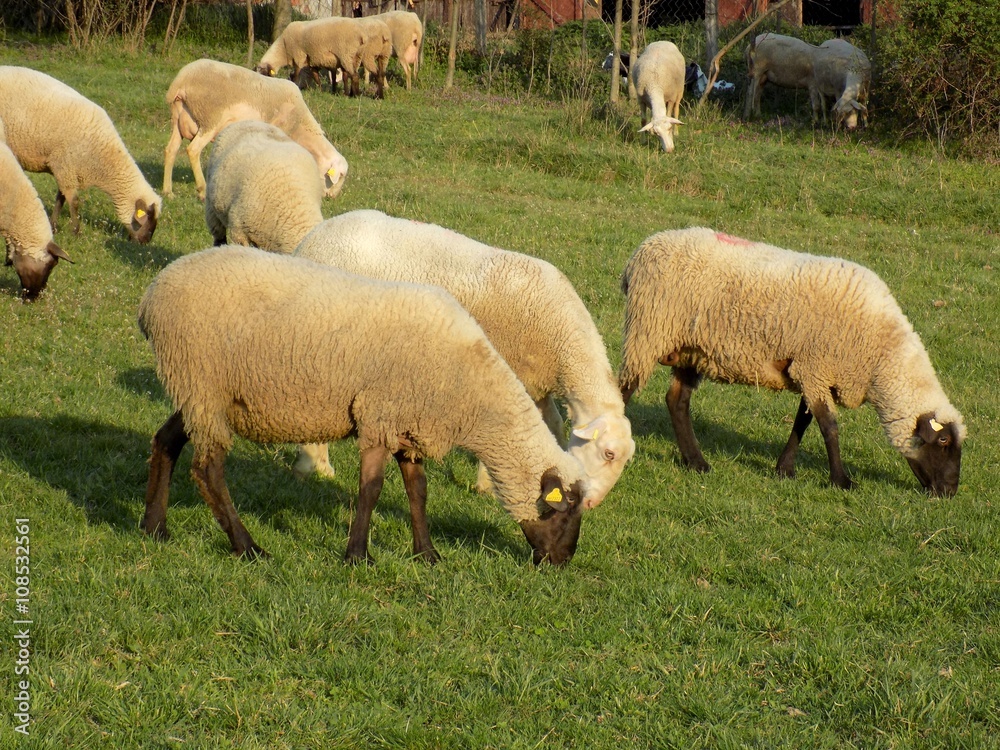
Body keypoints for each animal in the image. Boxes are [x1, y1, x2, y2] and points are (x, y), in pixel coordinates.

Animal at [0, 66, 160, 245]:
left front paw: (54, 226)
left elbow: (60, 199)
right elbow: (74, 201)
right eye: (147, 221)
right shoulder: (64, 165)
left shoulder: (65, 170)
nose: (144, 243)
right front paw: (76, 231)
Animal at [138, 245, 587, 565]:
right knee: (208, 469)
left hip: (200, 392)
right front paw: (358, 555)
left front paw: (427, 554)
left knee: (166, 441)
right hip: (199, 378)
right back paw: (247, 547)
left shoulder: (409, 423)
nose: (562, 561)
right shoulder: (379, 415)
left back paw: (154, 527)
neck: (471, 391)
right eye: (563, 511)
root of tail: (153, 293)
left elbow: (418, 490)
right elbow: (371, 489)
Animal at [162, 59, 349, 201]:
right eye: (338, 177)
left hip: (178, 119)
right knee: (193, 150)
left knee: (170, 150)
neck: (299, 127)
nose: (332, 197)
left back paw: (168, 192)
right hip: (209, 119)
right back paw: (202, 191)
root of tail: (181, 82)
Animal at [293, 209, 635, 510]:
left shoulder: (535, 384)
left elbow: (552, 427)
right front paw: (488, 484)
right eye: (608, 453)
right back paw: (314, 465)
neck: (562, 338)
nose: (590, 504)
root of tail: (311, 238)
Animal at [618, 227, 966, 497]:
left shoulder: (811, 370)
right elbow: (829, 426)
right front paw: (841, 481)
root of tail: (641, 251)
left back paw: (697, 462)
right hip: (648, 330)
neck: (881, 355)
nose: (950, 492)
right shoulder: (814, 366)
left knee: (677, 400)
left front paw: (784, 469)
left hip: (691, 348)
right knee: (625, 390)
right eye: (944, 440)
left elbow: (804, 420)